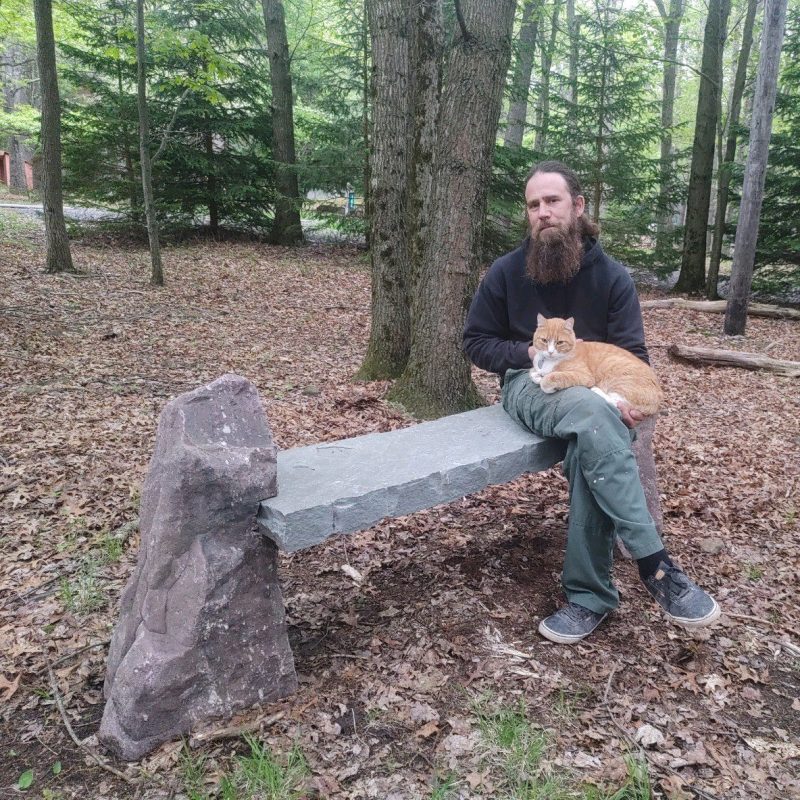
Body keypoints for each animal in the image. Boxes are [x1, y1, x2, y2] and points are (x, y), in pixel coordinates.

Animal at [532, 314, 664, 416]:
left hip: (616, 372)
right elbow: (534, 373)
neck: (549, 361)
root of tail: (659, 397)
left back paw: (596, 390)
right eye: (544, 340)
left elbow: (552, 378)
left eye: (559, 342)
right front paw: (538, 376)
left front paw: (546, 382)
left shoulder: (584, 376)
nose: (550, 352)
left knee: (618, 403)